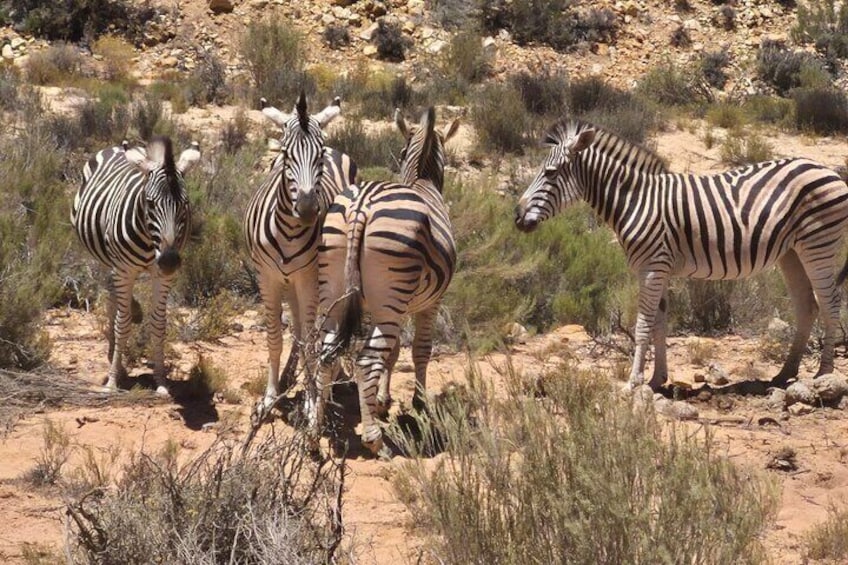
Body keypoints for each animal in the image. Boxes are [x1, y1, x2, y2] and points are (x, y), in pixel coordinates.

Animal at [71, 137, 200, 394]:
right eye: (150, 203)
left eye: (185, 203)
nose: (169, 260)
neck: (152, 243)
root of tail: (113, 147)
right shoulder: (124, 270)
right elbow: (122, 323)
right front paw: (113, 381)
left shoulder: (163, 276)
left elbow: (158, 325)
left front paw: (161, 382)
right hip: (104, 259)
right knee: (111, 299)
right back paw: (115, 359)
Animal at [243, 92, 356, 410]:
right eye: (285, 155)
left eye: (318, 156)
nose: (306, 210)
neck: (290, 233)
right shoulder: (267, 277)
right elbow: (275, 336)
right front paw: (270, 397)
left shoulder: (308, 277)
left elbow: (309, 336)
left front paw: (312, 398)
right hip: (290, 280)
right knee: (296, 324)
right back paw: (289, 374)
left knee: (321, 325)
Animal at [314, 108, 458, 456]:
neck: (422, 181)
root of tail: (360, 207)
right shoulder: (430, 302)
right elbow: (420, 350)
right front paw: (418, 403)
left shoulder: (397, 305)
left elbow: (392, 353)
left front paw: (381, 399)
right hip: (392, 297)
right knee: (366, 361)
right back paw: (375, 440)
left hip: (336, 292)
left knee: (324, 353)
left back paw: (312, 435)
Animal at [512, 118, 848, 392]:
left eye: (550, 173)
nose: (516, 217)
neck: (634, 201)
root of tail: (827, 169)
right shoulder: (658, 268)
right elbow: (659, 324)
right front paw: (656, 379)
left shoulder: (651, 267)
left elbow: (643, 325)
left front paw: (632, 382)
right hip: (791, 252)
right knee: (807, 306)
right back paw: (785, 373)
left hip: (818, 244)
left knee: (830, 303)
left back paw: (824, 374)